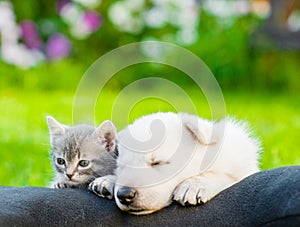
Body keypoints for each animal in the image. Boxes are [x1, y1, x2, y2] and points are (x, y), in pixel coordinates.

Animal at [89, 112, 260, 215]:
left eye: (158, 162)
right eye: (121, 166)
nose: (125, 195)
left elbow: (225, 176)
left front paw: (193, 186)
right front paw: (107, 180)